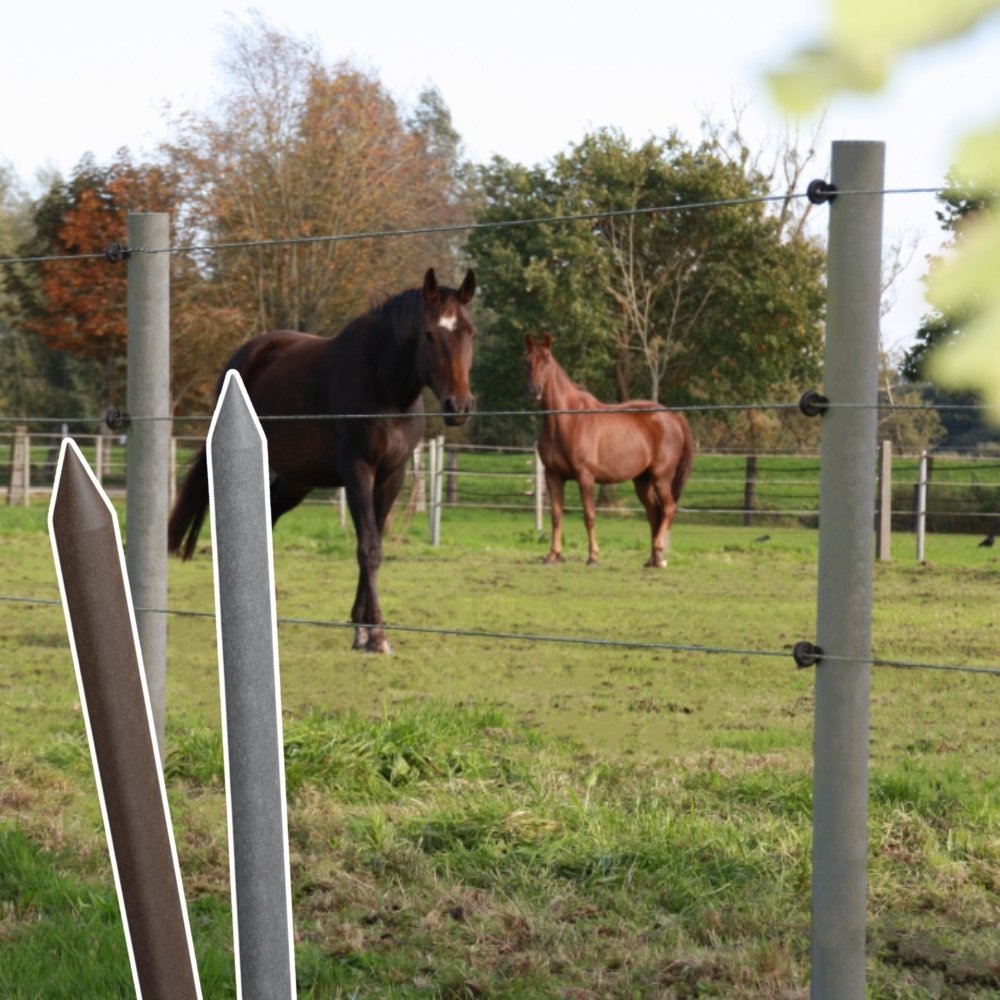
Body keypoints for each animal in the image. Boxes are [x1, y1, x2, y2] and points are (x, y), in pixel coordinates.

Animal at [171, 270, 476, 652]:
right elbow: (369, 547)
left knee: (269, 515)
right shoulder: (358, 472)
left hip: (296, 480)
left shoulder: (392, 475)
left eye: (470, 332)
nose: (458, 406)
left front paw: (361, 628)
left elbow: (374, 543)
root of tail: (244, 358)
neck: (385, 387)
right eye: (430, 334)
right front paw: (375, 634)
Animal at [524, 334, 696, 568]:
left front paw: (593, 557)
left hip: (661, 477)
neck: (567, 420)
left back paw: (659, 555)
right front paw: (553, 555)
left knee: (668, 509)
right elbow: (556, 516)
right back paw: (653, 559)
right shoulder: (553, 476)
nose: (535, 390)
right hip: (642, 481)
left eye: (547, 360)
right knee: (654, 513)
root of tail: (673, 416)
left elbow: (589, 516)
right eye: (527, 361)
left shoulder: (585, 477)